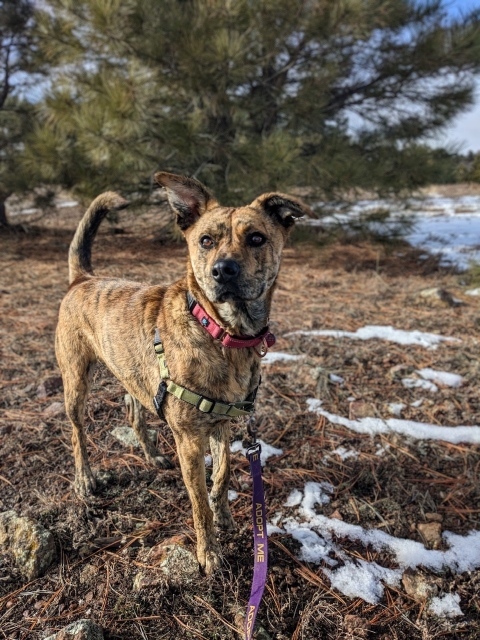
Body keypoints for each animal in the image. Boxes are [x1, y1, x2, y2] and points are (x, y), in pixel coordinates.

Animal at [54, 172, 308, 572]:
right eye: (206, 241)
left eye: (256, 238)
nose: (223, 270)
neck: (221, 332)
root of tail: (84, 279)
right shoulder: (189, 440)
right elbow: (199, 501)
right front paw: (210, 553)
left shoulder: (222, 423)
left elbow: (223, 474)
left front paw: (226, 517)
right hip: (76, 380)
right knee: (78, 432)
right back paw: (85, 479)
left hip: (132, 375)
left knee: (134, 411)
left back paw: (152, 455)